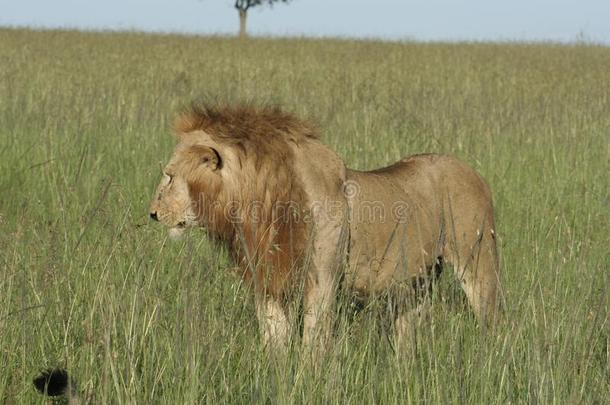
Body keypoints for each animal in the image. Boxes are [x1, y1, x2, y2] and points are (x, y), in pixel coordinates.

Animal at [150, 103, 502, 348]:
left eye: (168, 176)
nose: (152, 213)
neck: (256, 205)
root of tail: (477, 173)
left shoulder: (322, 280)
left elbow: (314, 344)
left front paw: (306, 383)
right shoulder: (268, 281)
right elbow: (274, 340)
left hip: (477, 261)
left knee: (492, 318)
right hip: (417, 282)